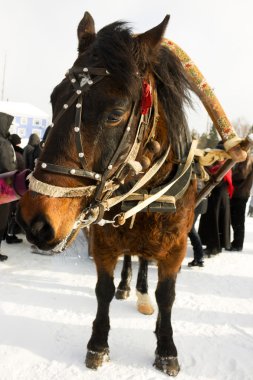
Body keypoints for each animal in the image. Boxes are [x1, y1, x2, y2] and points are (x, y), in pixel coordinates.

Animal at [16, 10, 211, 376]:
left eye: (117, 113)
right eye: (54, 98)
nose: (36, 221)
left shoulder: (175, 247)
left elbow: (167, 295)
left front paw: (166, 349)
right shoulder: (104, 240)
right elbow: (103, 290)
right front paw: (98, 343)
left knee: (144, 260)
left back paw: (142, 292)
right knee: (132, 258)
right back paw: (127, 285)